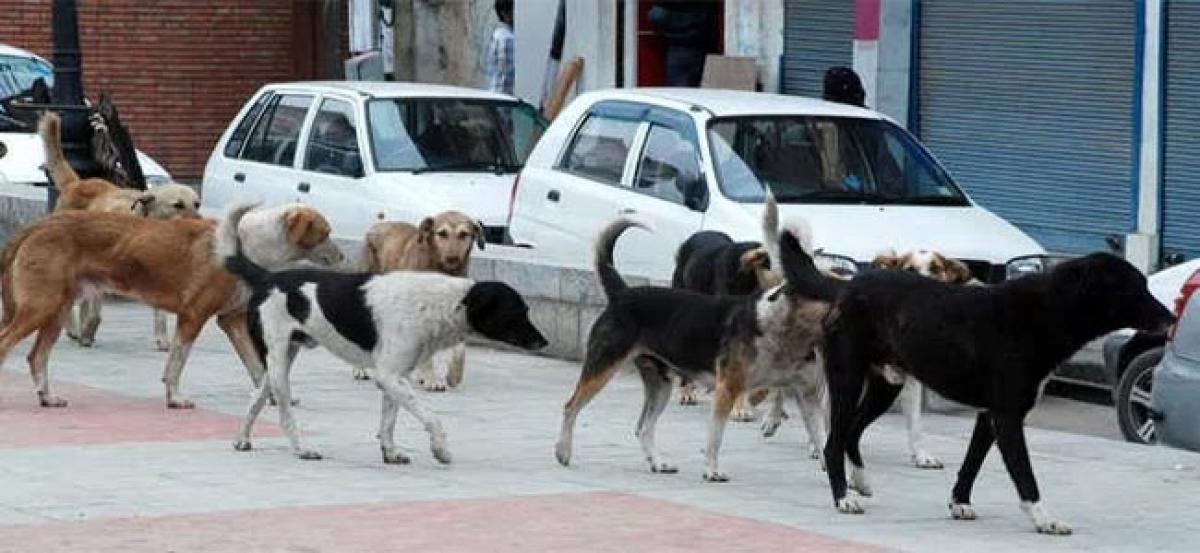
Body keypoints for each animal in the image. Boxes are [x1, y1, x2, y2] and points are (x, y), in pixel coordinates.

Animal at [217, 205, 549, 463]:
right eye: (518, 312)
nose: (544, 342)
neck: (441, 303)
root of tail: (267, 277)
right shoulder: (389, 376)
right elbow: (431, 417)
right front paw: (440, 449)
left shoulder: (395, 377)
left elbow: (389, 422)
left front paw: (390, 453)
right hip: (279, 365)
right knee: (285, 414)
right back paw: (302, 449)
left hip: (280, 361)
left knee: (256, 398)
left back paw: (242, 439)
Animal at [554, 215, 830, 477]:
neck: (781, 324)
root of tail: (622, 293)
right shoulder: (727, 388)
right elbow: (715, 437)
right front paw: (712, 471)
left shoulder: (807, 394)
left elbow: (821, 437)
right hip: (603, 366)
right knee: (570, 407)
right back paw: (563, 452)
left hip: (660, 384)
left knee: (643, 428)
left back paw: (658, 464)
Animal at [806, 250, 1171, 535]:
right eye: (1135, 288)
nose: (1171, 318)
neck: (1048, 309)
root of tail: (847, 286)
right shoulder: (1008, 415)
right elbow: (1025, 475)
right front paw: (1044, 519)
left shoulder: (989, 414)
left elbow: (972, 462)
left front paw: (959, 503)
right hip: (848, 380)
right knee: (833, 441)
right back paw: (843, 497)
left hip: (887, 385)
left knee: (852, 431)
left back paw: (860, 480)